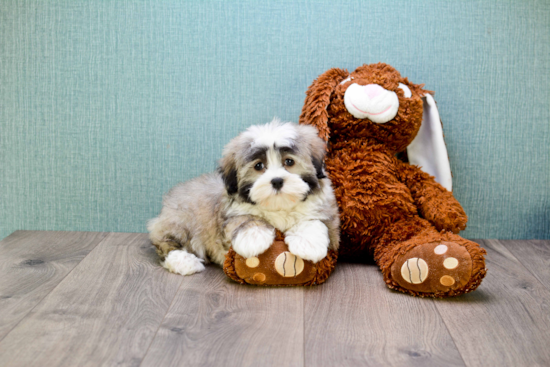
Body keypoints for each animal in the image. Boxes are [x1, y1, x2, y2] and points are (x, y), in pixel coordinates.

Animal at [148, 119, 340, 278]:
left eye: (289, 162)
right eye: (258, 166)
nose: (277, 181)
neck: (279, 206)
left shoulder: (326, 211)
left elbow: (314, 221)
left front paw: (308, 243)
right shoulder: (230, 214)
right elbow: (246, 219)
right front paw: (253, 238)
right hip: (181, 220)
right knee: (165, 243)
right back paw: (184, 261)